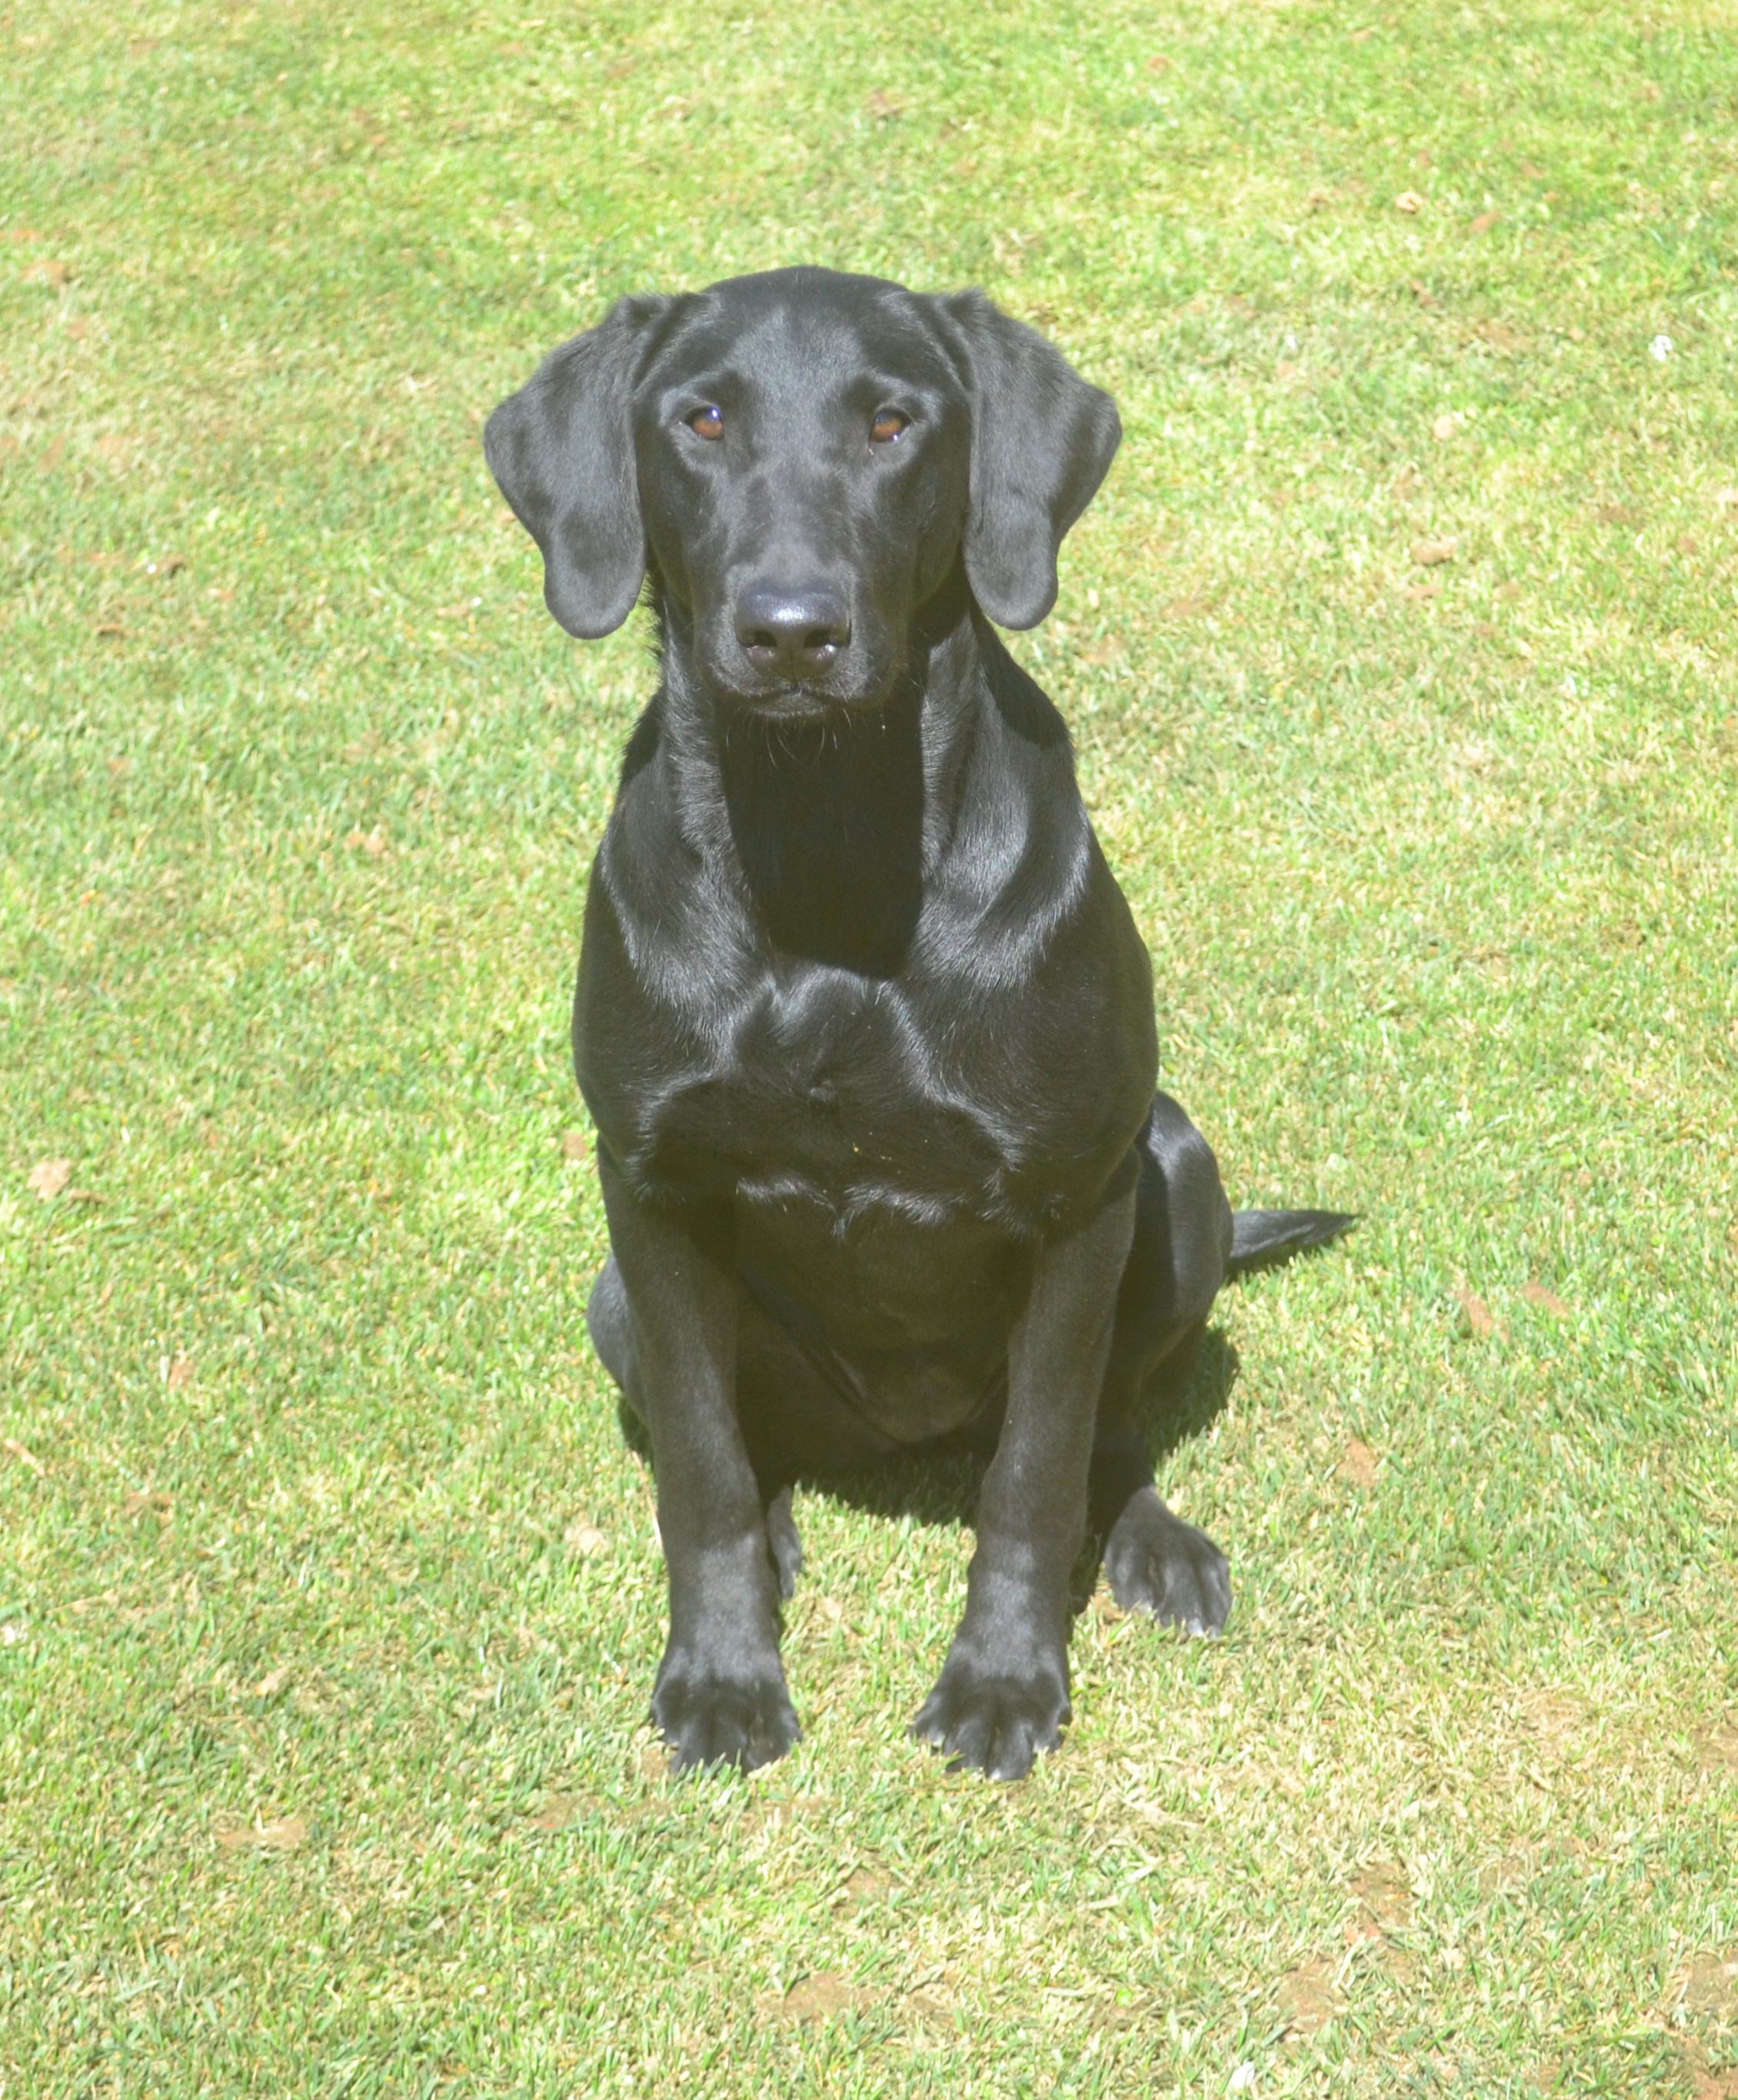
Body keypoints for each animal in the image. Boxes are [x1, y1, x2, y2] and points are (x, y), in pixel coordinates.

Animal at [482, 258, 1351, 1772]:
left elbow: (1038, 1472)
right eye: (702, 419)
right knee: (750, 1446)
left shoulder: (1075, 1197)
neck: (825, 836)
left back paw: (1155, 1544)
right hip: (614, 1299)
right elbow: (701, 1470)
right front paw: (724, 1673)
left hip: (1175, 1164)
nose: (790, 629)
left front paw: (1003, 1680)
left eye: (894, 425)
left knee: (1108, 1436)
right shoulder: (647, 1186)